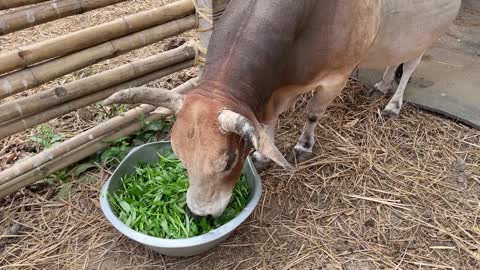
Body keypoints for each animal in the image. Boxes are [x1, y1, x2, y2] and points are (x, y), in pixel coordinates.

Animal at [104, 0, 462, 217]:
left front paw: (303, 146)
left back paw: (393, 103)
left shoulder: (335, 77)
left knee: (411, 65)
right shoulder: (277, 93)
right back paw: (383, 84)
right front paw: (264, 155)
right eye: (179, 155)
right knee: (395, 61)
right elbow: (268, 124)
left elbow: (313, 113)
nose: (200, 212)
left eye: (228, 161)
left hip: (426, 35)